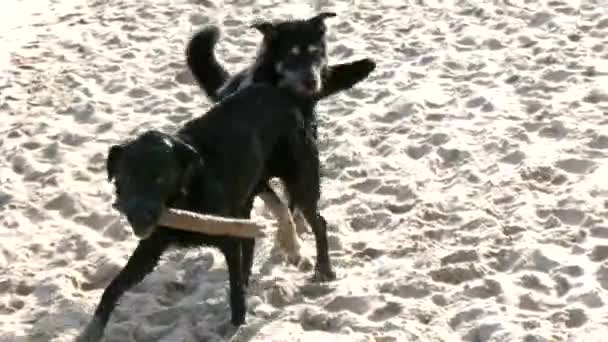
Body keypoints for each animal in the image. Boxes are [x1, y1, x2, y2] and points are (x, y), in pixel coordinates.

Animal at [78, 83, 326, 342]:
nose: (138, 217)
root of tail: (284, 93)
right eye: (124, 178)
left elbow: (235, 289)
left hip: (300, 181)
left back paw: (322, 268)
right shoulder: (151, 247)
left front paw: (237, 323)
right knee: (264, 223)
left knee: (318, 222)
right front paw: (93, 329)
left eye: (160, 178)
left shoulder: (228, 238)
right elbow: (114, 286)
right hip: (252, 187)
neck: (184, 196)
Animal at [186, 11, 376, 256]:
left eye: (316, 53)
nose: (313, 82)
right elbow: (279, 208)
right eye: (291, 56)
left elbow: (288, 207)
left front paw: (292, 242)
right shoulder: (257, 181)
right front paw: (291, 243)